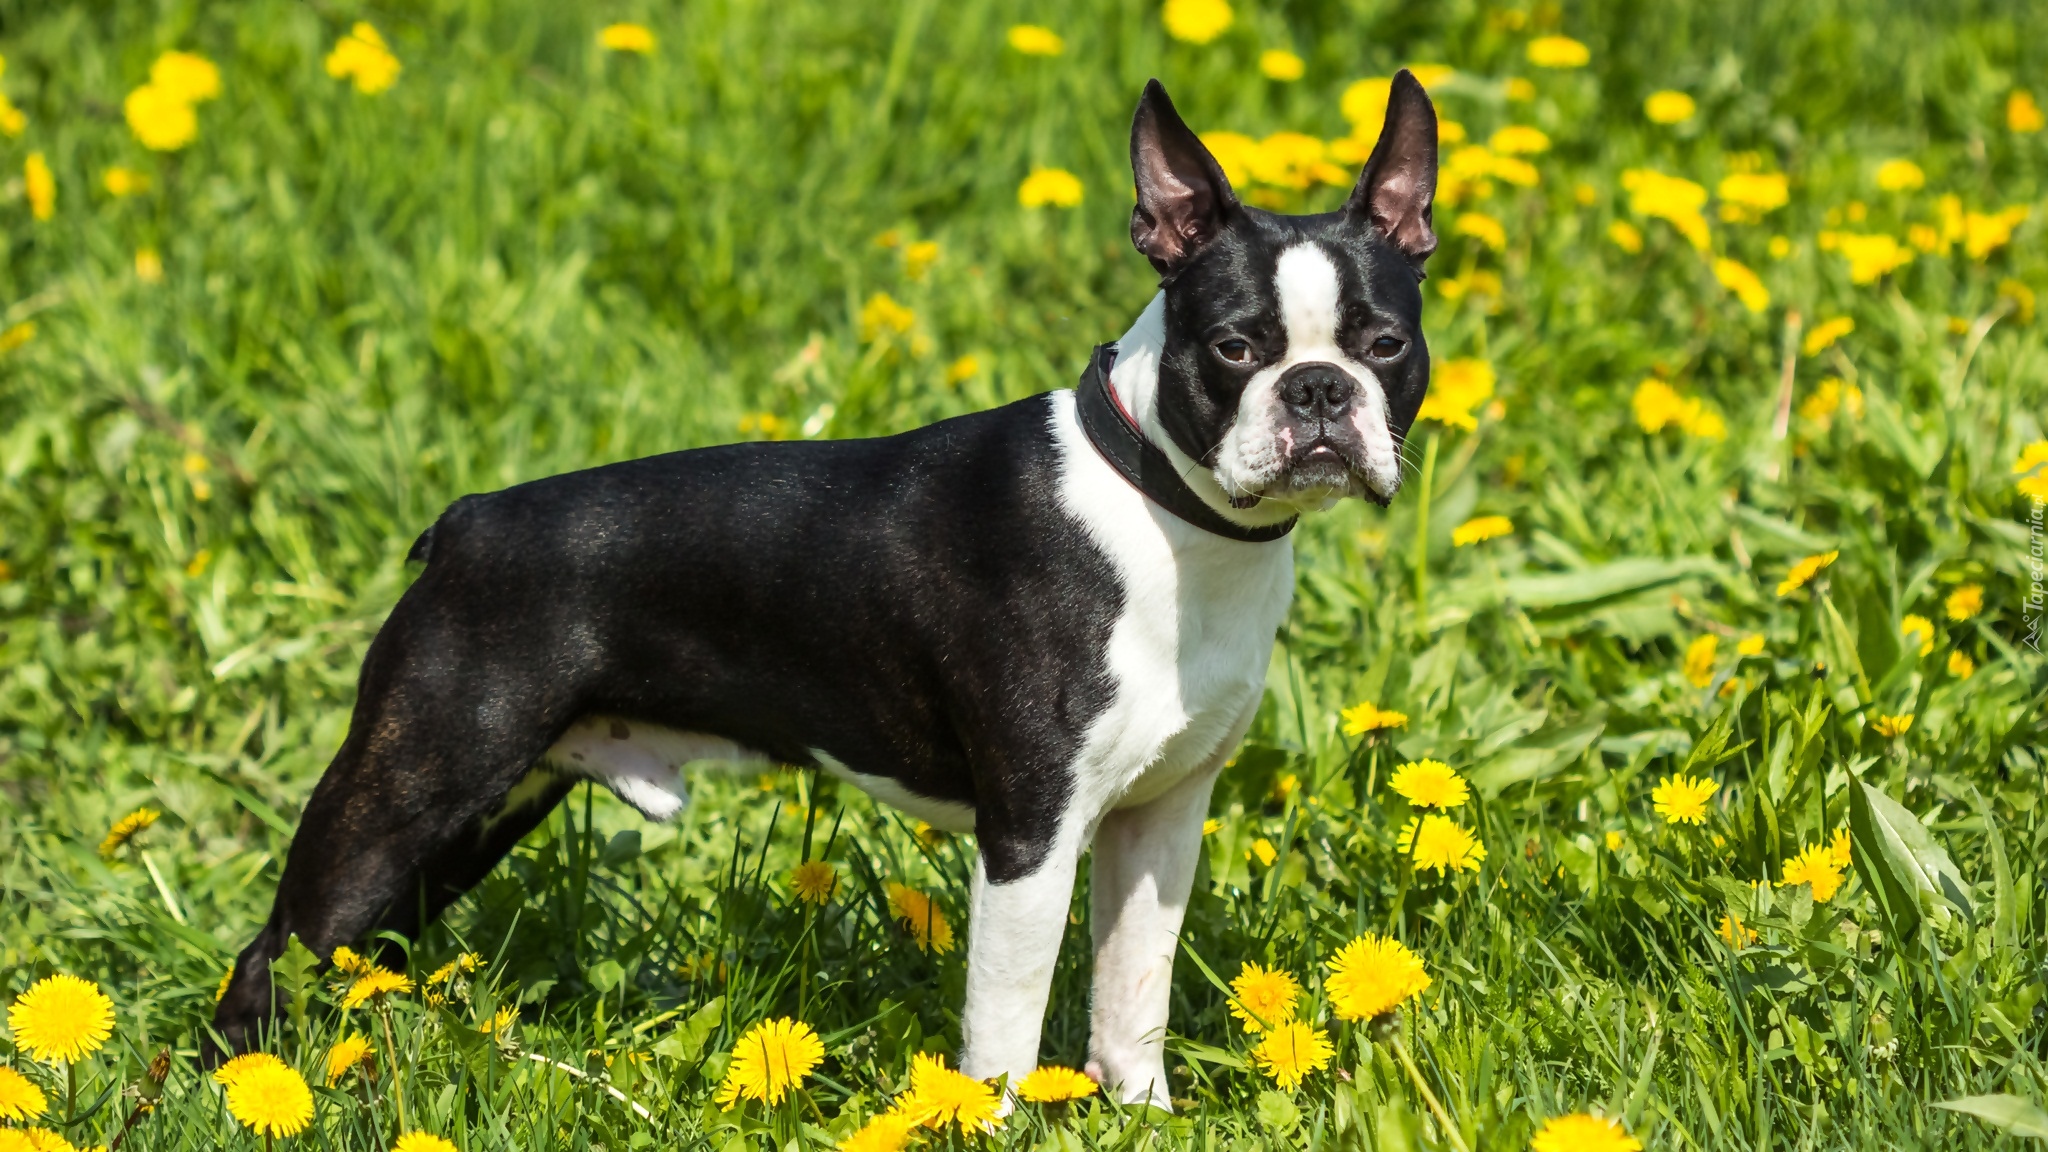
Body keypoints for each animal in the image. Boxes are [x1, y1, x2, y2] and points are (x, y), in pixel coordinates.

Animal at [220, 71, 1441, 1106]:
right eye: (1235, 349)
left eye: (1385, 346)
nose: (1319, 390)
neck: (1169, 516)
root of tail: (467, 520)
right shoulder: (1032, 832)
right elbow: (1005, 1025)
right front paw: (990, 1120)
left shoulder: (1160, 817)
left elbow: (1129, 993)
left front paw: (1140, 1113)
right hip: (414, 785)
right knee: (269, 955)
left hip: (480, 811)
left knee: (351, 948)